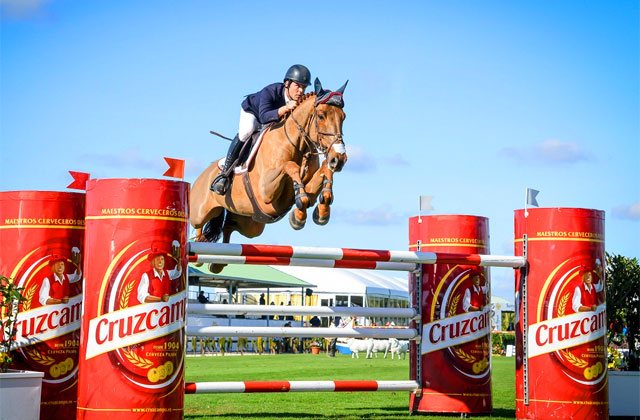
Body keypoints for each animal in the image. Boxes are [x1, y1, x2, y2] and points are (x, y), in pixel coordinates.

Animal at [190, 79, 350, 272]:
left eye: (343, 117)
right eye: (321, 116)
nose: (339, 159)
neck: (297, 144)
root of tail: (203, 174)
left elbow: (324, 172)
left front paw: (322, 209)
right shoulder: (266, 190)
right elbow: (290, 166)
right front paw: (300, 212)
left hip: (251, 224)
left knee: (229, 226)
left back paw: (217, 263)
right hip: (199, 212)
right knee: (198, 225)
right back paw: (198, 250)